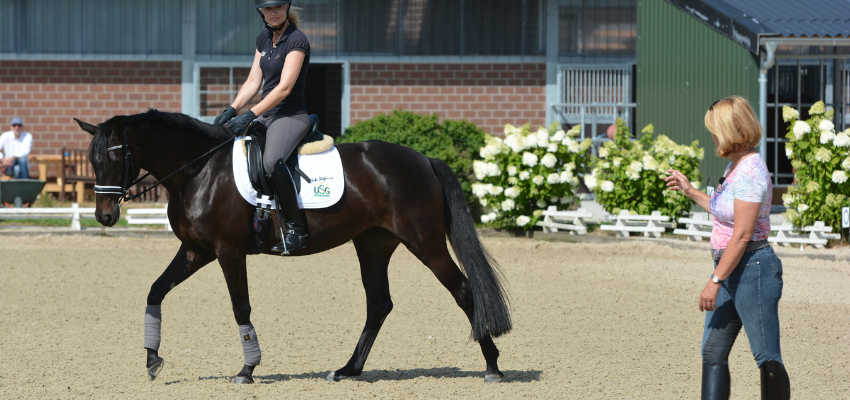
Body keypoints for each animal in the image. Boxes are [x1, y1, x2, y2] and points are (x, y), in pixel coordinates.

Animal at [73, 110, 510, 384]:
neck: (198, 171)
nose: (104, 216)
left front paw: (247, 370)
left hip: (425, 241)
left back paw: (492, 366)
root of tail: (422, 158)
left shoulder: (228, 252)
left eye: (114, 156)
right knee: (378, 304)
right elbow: (156, 291)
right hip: (372, 245)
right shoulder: (197, 251)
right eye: (92, 160)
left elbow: (241, 307)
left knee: (463, 290)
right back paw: (348, 370)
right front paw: (152, 358)